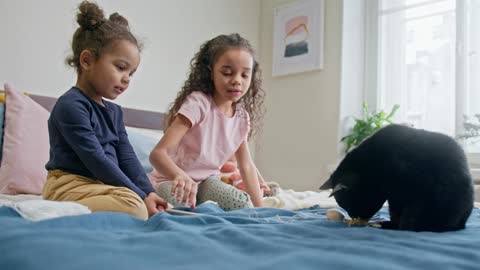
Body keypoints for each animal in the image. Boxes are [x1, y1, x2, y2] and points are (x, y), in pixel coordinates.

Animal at [320, 124, 474, 232]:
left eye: (350, 206)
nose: (354, 217)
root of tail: (462, 224)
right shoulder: (394, 199)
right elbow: (396, 213)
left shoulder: (413, 192)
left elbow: (408, 218)